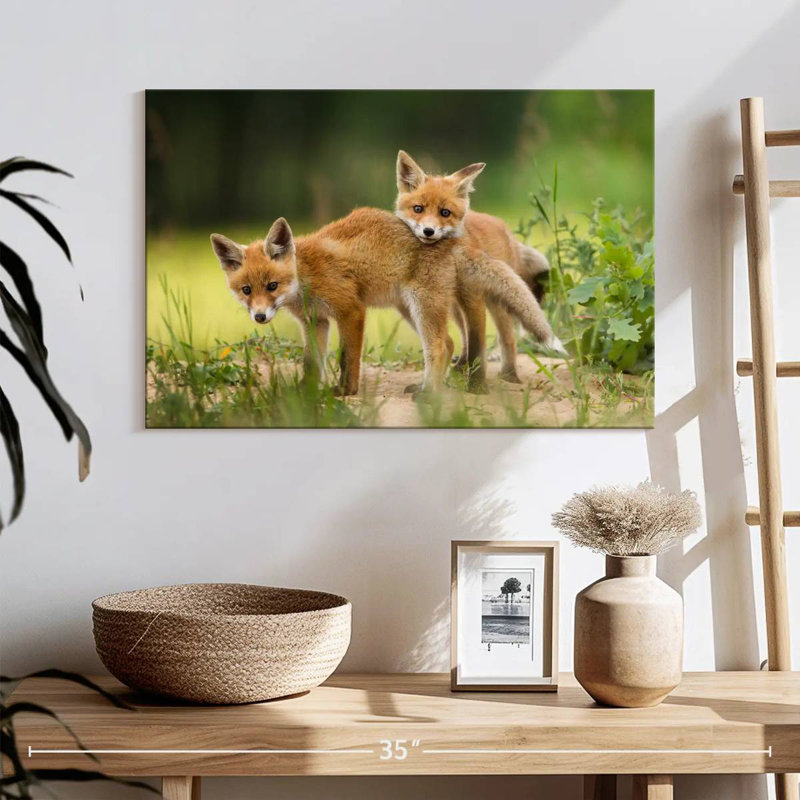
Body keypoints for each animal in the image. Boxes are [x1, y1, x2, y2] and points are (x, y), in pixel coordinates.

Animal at [210, 209, 558, 397]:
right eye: (246, 290)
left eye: (272, 286)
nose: (259, 317)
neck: (305, 276)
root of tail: (451, 240)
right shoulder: (315, 321)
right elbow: (312, 364)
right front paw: (304, 395)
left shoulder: (350, 310)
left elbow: (347, 359)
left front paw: (345, 392)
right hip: (408, 309)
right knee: (448, 342)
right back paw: (427, 388)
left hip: (422, 305)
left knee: (440, 346)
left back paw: (429, 396)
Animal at [395, 150, 553, 386]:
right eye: (418, 209)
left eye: (445, 213)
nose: (428, 231)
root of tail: (504, 227)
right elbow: (468, 340)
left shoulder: (473, 297)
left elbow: (478, 341)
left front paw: (476, 382)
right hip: (454, 306)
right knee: (465, 336)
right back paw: (460, 367)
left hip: (497, 301)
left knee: (508, 338)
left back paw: (509, 374)